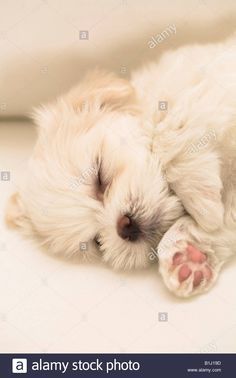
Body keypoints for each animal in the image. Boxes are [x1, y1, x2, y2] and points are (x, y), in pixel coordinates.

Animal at [5, 35, 236, 296]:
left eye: (99, 176)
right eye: (96, 241)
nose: (124, 226)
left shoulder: (200, 85)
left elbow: (169, 129)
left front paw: (205, 208)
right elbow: (227, 222)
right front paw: (188, 254)